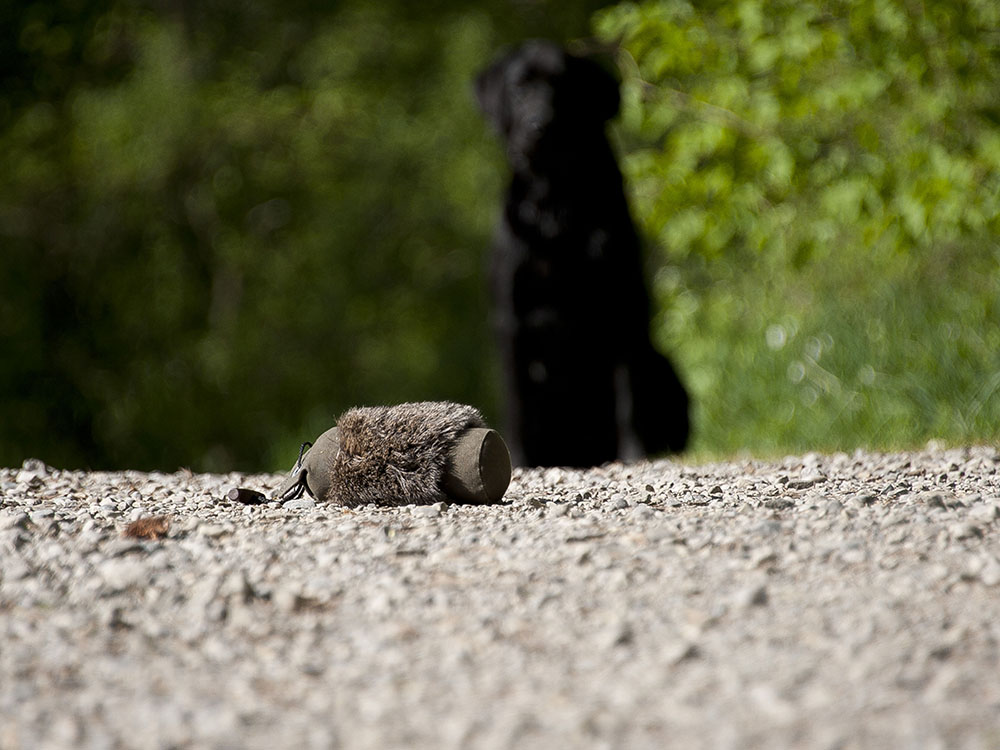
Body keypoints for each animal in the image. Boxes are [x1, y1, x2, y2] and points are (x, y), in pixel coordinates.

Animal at [476, 41, 688, 470]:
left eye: (564, 87)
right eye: (519, 87)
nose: (539, 126)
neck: (555, 207)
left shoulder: (623, 308)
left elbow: (628, 398)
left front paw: (634, 456)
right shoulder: (511, 319)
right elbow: (517, 403)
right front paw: (520, 459)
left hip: (664, 367)